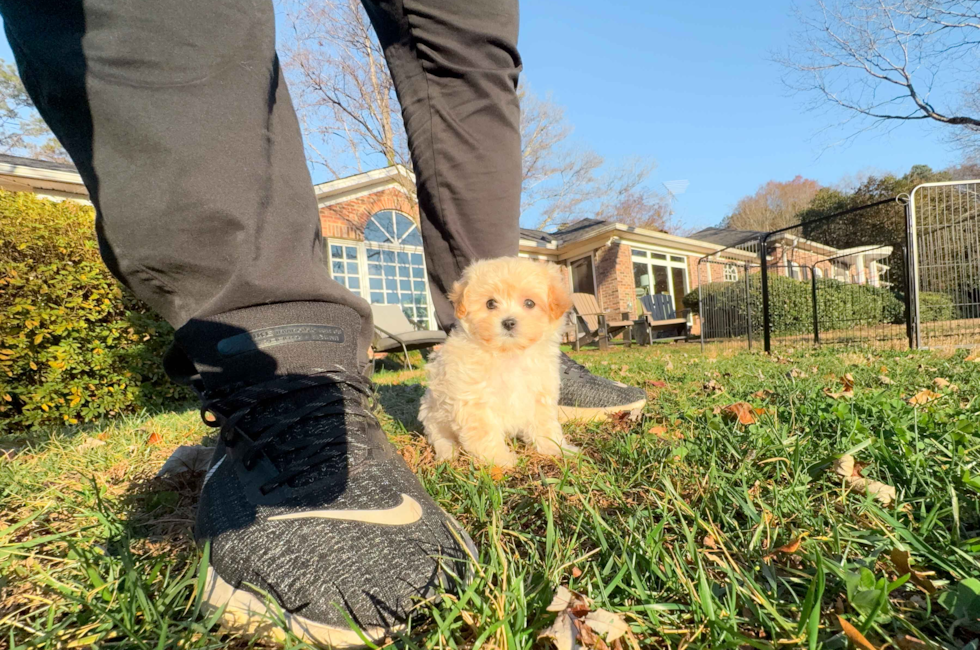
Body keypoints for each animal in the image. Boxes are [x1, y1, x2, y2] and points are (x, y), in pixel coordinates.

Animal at [420, 254, 576, 466]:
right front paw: (500, 459)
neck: (508, 353)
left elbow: (545, 425)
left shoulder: (539, 394)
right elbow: (484, 432)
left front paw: (558, 448)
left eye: (529, 303)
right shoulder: (474, 399)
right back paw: (447, 452)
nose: (508, 322)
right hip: (432, 412)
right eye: (490, 304)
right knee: (439, 436)